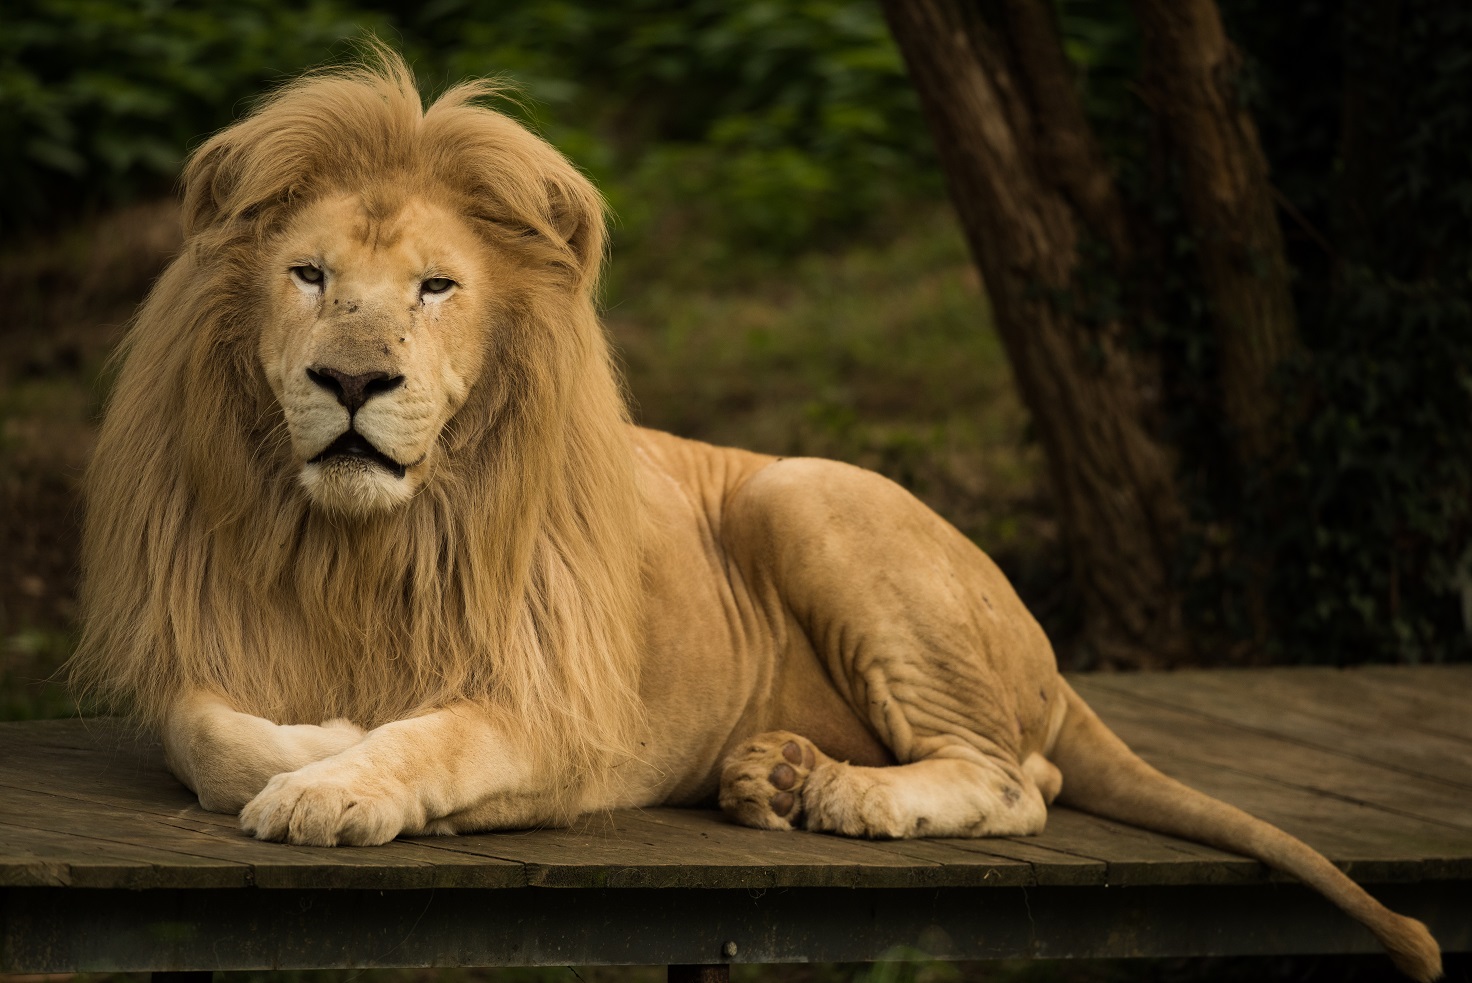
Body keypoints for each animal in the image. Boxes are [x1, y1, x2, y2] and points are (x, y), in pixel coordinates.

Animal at [69, 53, 1436, 983]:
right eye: (308, 275)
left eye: (436, 287)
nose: (352, 381)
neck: (361, 543)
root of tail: (1049, 661)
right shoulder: (200, 650)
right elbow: (209, 729)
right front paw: (310, 743)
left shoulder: (560, 716)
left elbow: (430, 738)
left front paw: (336, 778)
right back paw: (772, 776)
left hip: (802, 487)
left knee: (1019, 776)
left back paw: (838, 797)